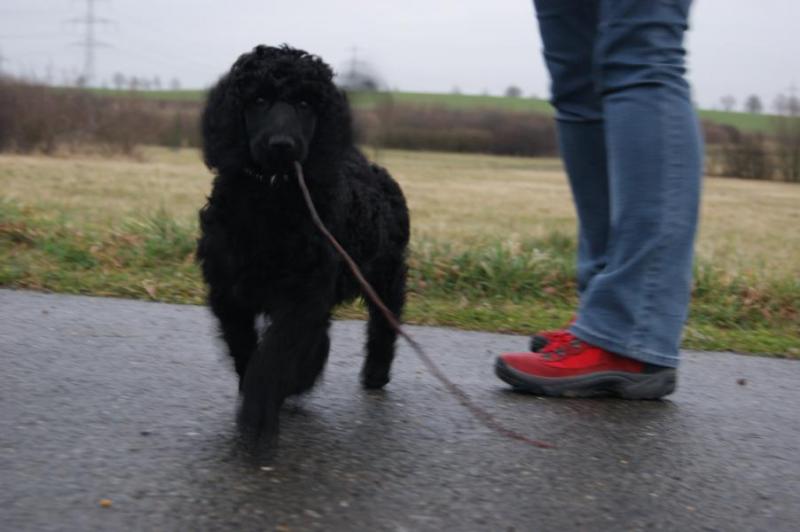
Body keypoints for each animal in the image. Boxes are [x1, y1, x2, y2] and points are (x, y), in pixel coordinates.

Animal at [196, 45, 409, 441]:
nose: (282, 146)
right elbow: (245, 346)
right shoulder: (229, 289)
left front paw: (259, 416)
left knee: (383, 324)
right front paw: (263, 394)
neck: (272, 195)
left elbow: (276, 352)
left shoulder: (303, 294)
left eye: (305, 104)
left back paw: (375, 373)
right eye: (258, 100)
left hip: (385, 273)